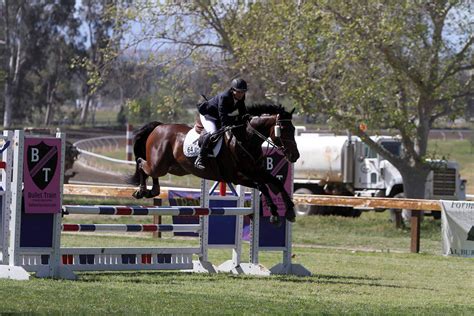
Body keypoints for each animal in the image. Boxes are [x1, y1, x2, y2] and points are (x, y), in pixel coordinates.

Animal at [128, 104, 300, 225]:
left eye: (293, 129)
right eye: (282, 129)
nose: (295, 156)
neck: (244, 139)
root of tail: (159, 126)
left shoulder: (255, 171)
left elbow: (275, 181)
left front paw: (290, 210)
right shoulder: (237, 177)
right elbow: (263, 186)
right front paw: (275, 214)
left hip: (173, 168)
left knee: (151, 171)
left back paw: (152, 191)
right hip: (159, 165)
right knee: (142, 163)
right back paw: (142, 191)